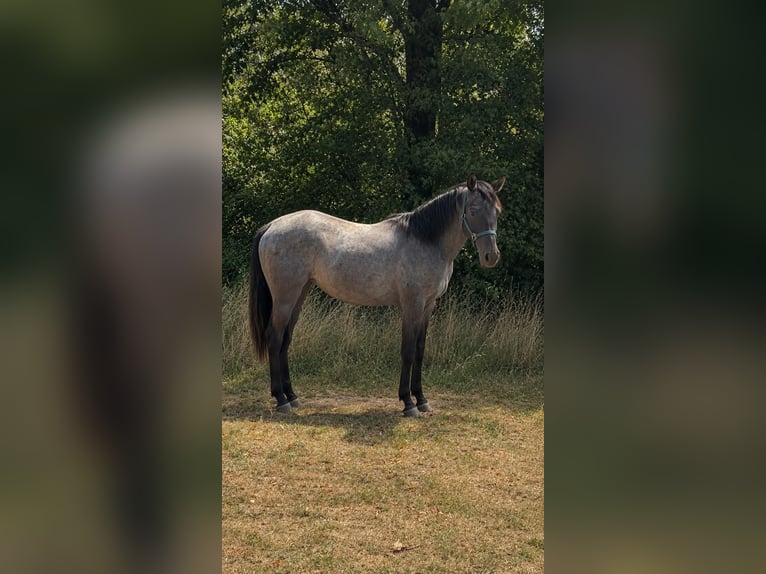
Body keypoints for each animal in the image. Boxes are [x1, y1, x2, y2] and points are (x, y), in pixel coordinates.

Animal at [249, 174, 505, 417]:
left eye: (497, 211)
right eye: (473, 210)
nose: (491, 257)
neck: (425, 241)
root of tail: (272, 226)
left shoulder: (428, 305)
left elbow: (420, 350)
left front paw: (422, 400)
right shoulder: (412, 305)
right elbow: (408, 351)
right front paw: (408, 403)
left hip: (299, 294)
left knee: (285, 340)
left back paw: (292, 396)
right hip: (284, 297)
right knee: (274, 338)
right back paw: (281, 400)